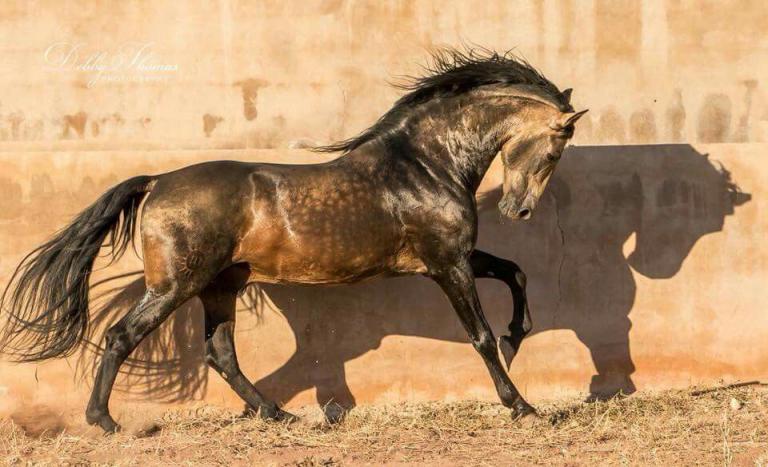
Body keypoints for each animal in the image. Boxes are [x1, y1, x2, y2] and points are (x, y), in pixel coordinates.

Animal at [0, 48, 587, 433]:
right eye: (556, 147)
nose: (518, 209)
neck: (425, 163)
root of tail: (157, 181)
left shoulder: (454, 258)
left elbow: (515, 270)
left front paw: (518, 334)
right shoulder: (448, 264)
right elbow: (479, 335)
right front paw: (522, 405)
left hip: (220, 287)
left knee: (221, 353)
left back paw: (277, 413)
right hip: (175, 287)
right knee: (124, 336)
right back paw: (104, 421)